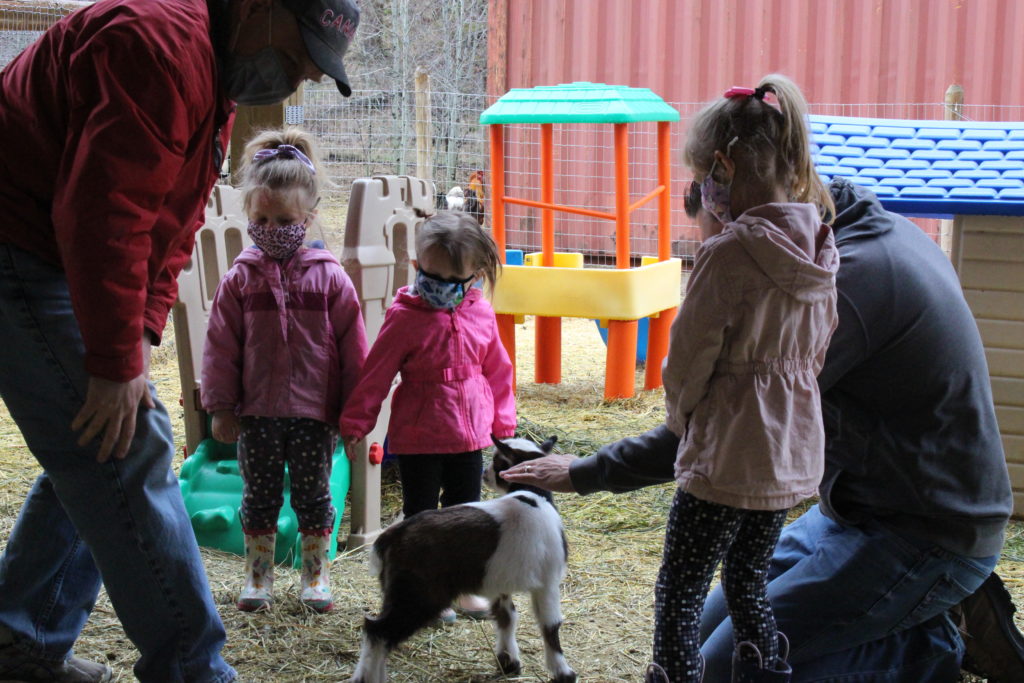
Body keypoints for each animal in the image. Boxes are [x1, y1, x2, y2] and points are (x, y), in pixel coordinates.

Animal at [350, 438, 577, 683]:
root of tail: (391, 536)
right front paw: (563, 672)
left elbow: (507, 617)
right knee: (377, 631)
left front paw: (508, 662)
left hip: (398, 592)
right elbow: (550, 626)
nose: (485, 473)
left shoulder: (501, 583)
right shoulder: (548, 582)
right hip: (418, 594)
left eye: (498, 461)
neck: (534, 497)